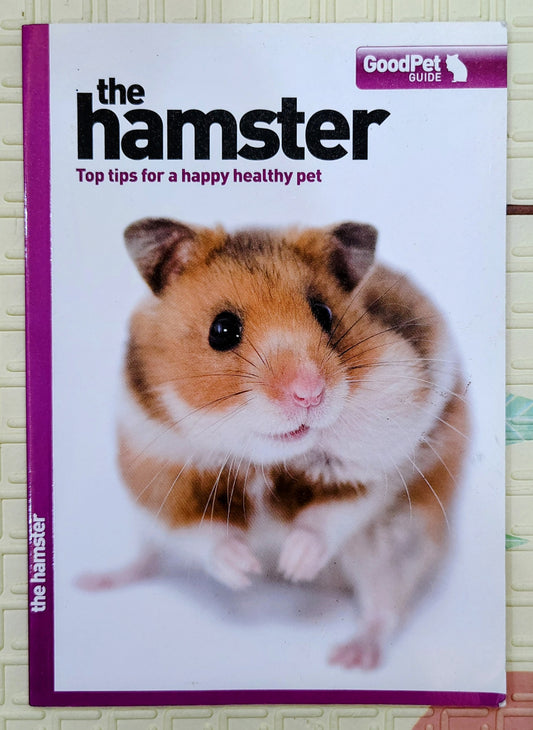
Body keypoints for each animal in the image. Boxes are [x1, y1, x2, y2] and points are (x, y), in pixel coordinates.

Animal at [80, 218, 469, 670]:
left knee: (383, 607)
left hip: (394, 544)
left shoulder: (374, 465)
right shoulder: (158, 475)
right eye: (222, 330)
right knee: (147, 557)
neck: (264, 459)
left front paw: (292, 565)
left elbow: (331, 515)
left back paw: (351, 657)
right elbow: (199, 532)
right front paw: (245, 571)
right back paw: (95, 580)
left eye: (324, 313)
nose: (309, 394)